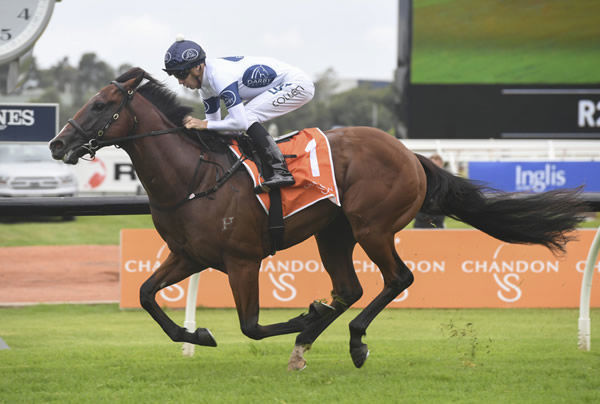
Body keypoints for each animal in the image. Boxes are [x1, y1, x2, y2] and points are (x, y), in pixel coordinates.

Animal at [50, 68, 584, 370]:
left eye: (101, 105)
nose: (57, 143)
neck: (193, 178)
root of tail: (410, 153)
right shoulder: (188, 256)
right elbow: (145, 295)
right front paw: (196, 334)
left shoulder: (242, 261)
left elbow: (251, 326)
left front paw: (303, 316)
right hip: (334, 233)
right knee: (350, 288)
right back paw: (310, 340)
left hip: (372, 227)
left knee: (396, 279)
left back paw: (350, 341)